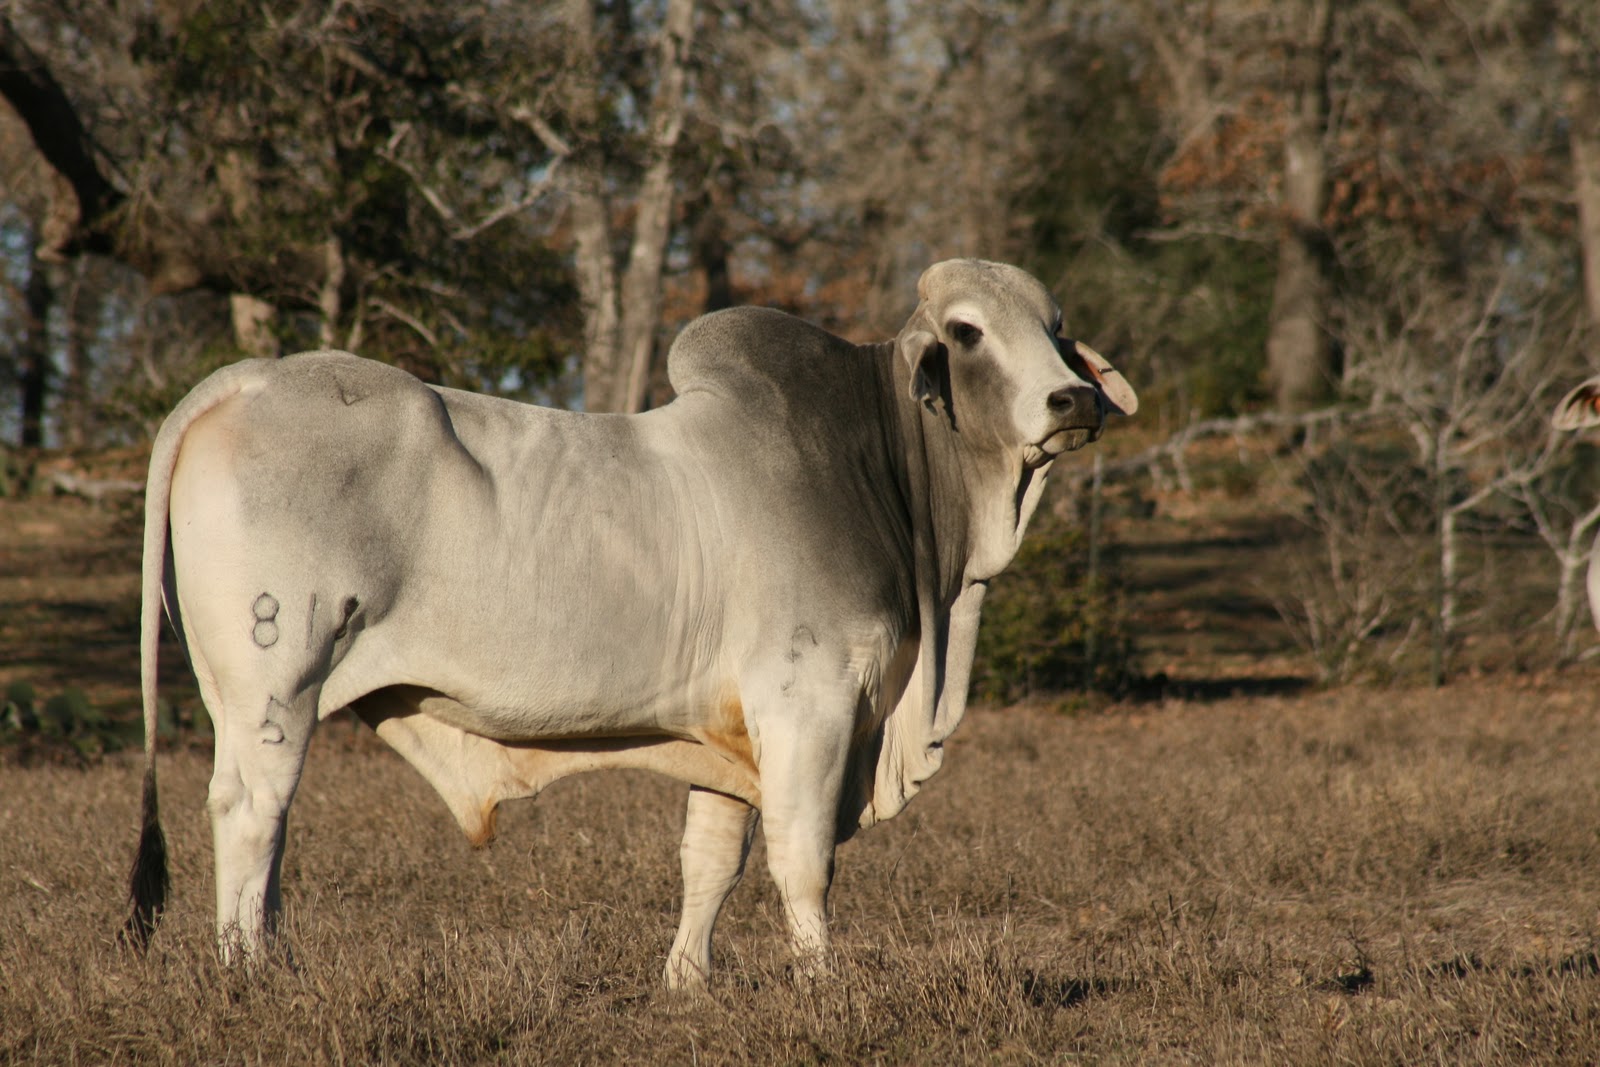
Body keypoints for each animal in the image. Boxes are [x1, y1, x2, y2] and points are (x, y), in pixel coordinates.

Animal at [125, 258, 1137, 987]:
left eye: (1056, 332)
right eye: (968, 332)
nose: (1074, 399)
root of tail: (243, 382)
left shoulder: (729, 734)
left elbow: (712, 859)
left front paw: (687, 981)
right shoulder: (807, 703)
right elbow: (803, 857)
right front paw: (824, 985)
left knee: (268, 821)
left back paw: (278, 959)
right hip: (275, 681)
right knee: (251, 811)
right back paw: (248, 973)